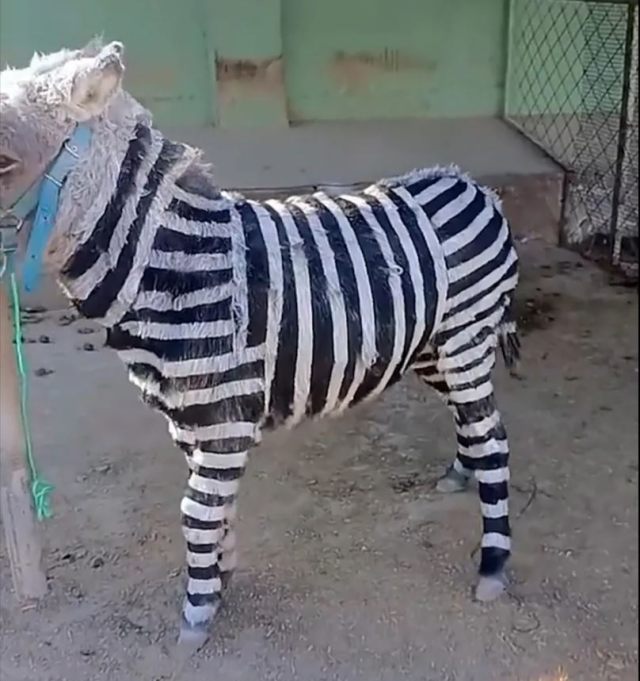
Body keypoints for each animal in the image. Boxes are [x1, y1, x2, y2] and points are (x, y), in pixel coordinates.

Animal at [0, 41, 520, 648]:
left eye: (4, 162)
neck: (172, 266)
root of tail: (471, 185)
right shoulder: (188, 418)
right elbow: (213, 507)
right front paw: (218, 577)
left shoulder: (225, 415)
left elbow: (196, 510)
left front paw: (196, 615)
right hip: (436, 349)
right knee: (473, 423)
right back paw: (462, 472)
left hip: (464, 341)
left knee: (493, 440)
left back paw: (492, 566)